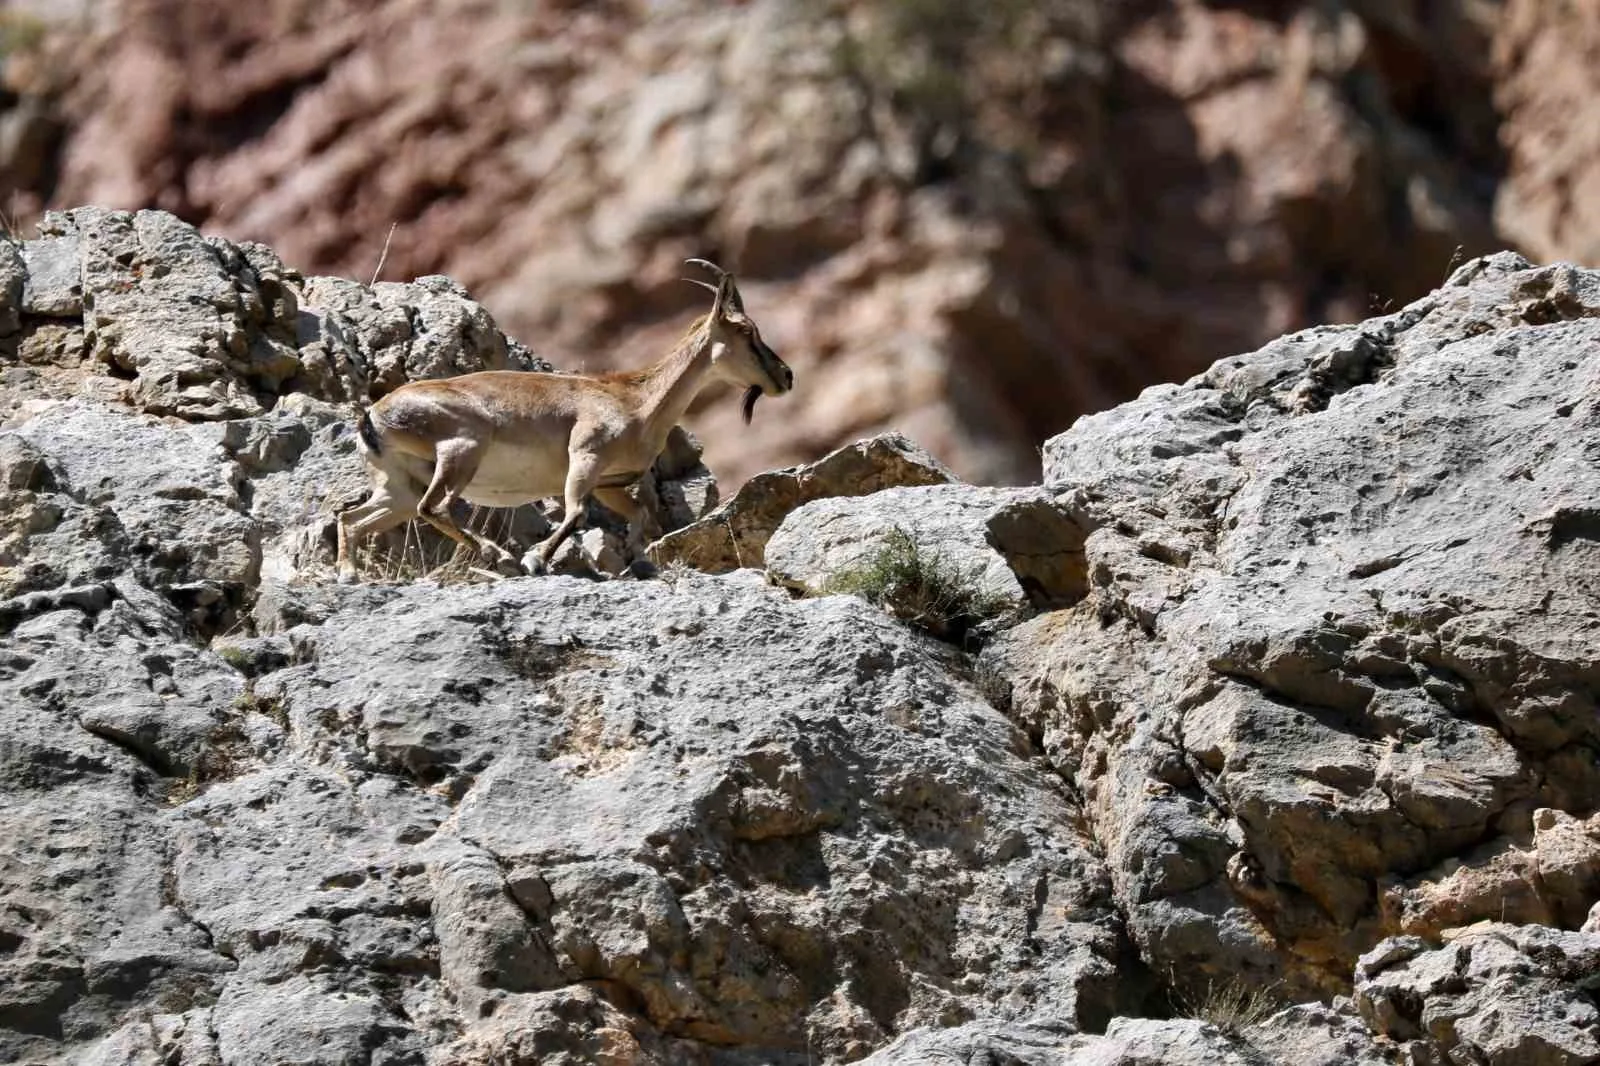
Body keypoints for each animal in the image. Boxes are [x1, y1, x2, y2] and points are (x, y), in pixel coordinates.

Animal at [337, 264, 793, 582]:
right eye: (747, 330)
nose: (786, 376)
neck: (638, 403)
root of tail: (373, 417)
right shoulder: (585, 457)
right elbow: (575, 513)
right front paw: (535, 558)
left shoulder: (609, 483)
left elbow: (638, 514)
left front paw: (641, 564)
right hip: (461, 449)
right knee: (435, 506)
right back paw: (500, 556)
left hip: (398, 485)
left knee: (354, 519)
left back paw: (349, 573)